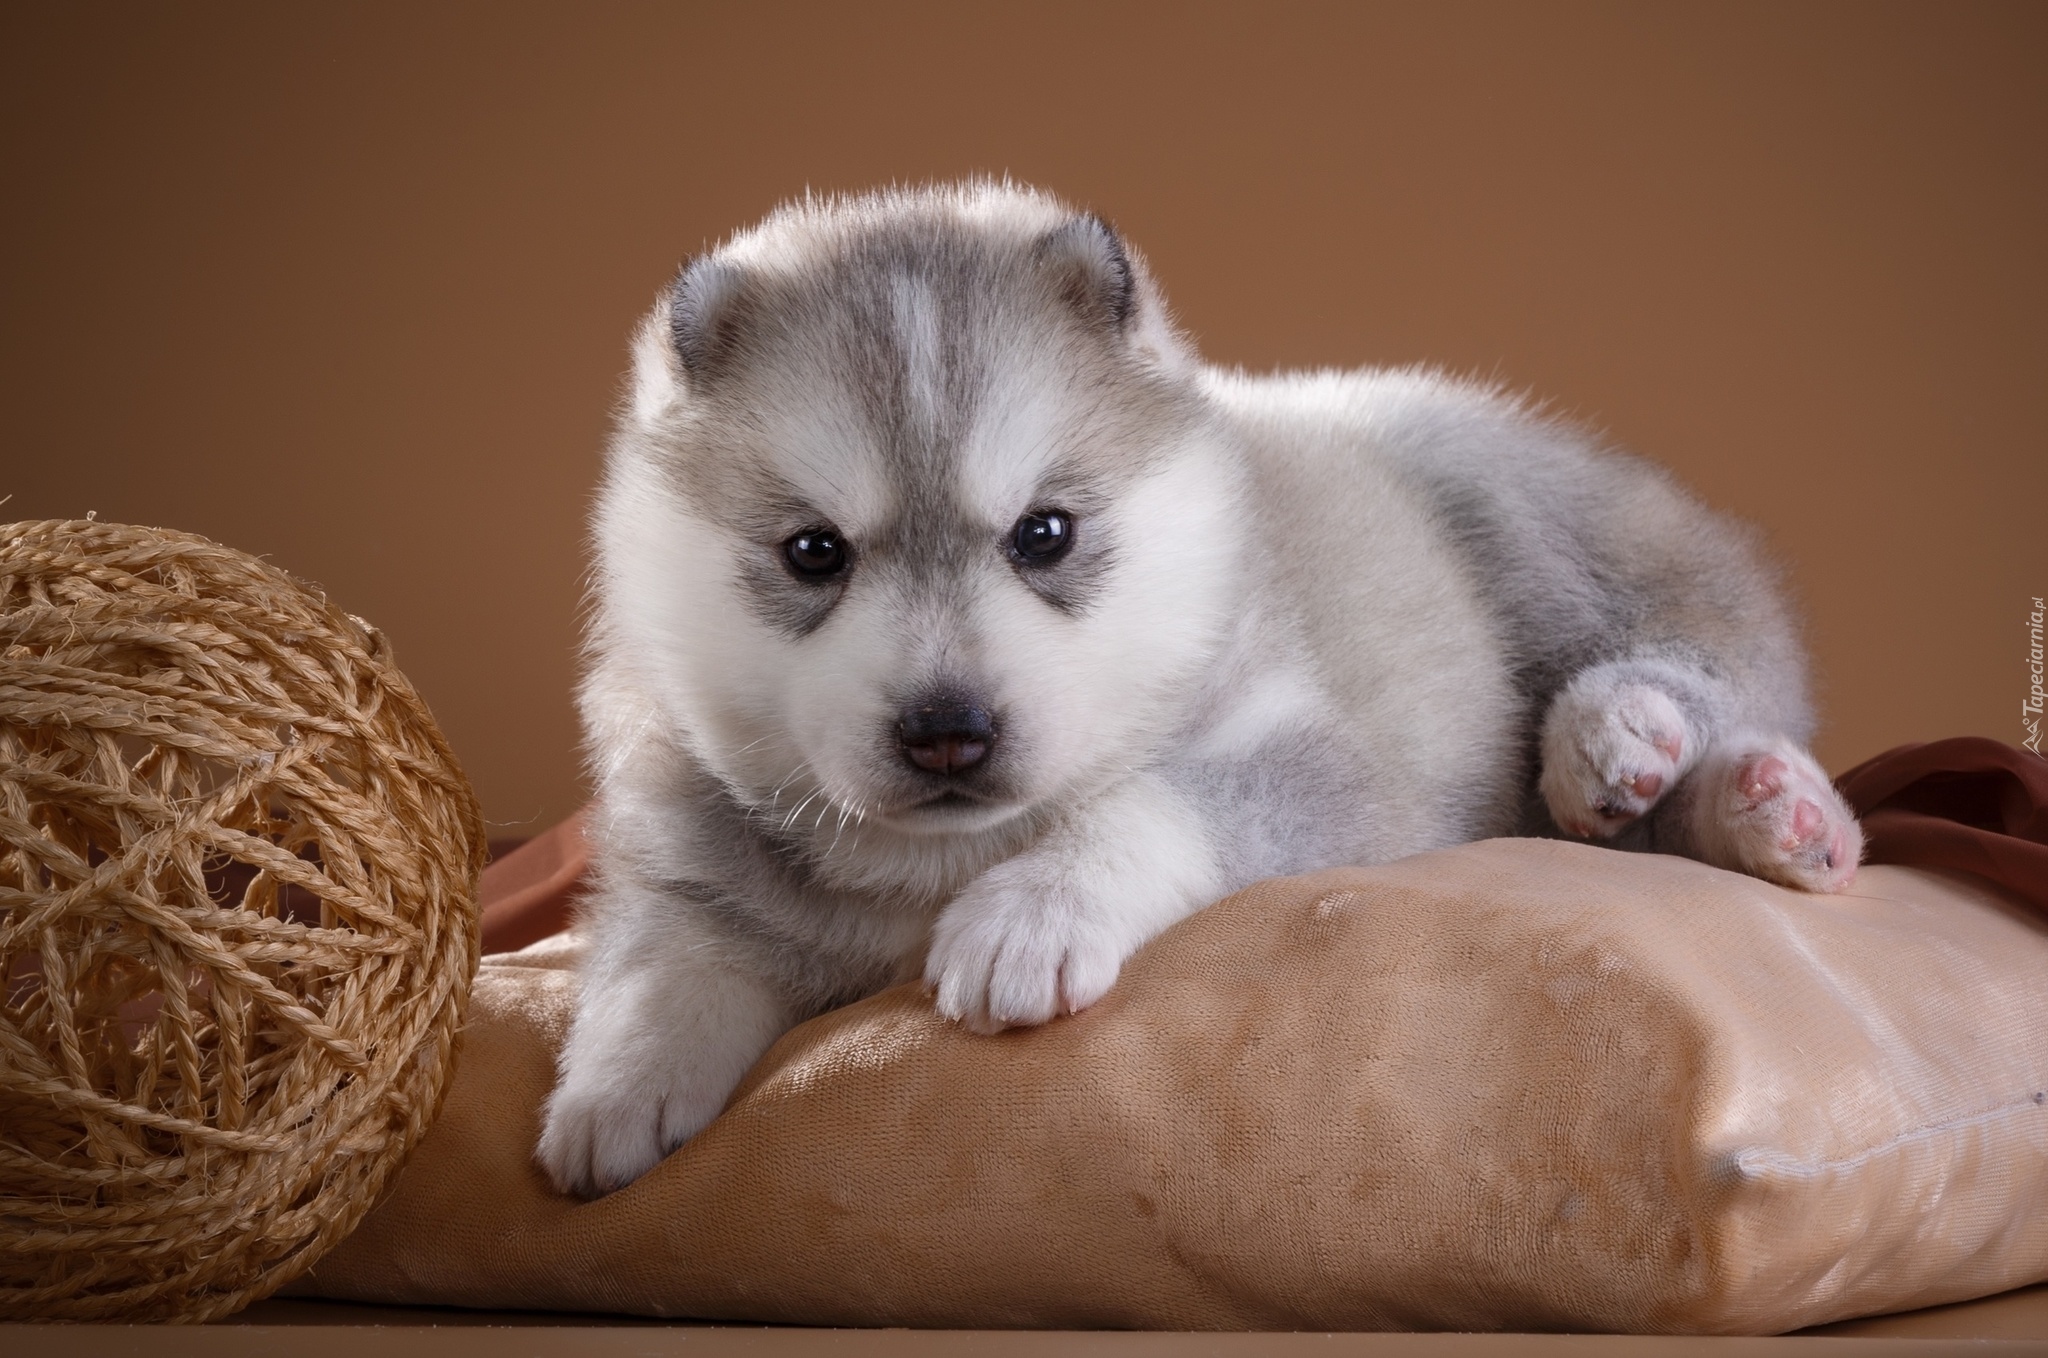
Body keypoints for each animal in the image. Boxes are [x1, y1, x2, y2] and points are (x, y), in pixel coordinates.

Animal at [536, 183, 1867, 1204]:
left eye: (1044, 533)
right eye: (813, 553)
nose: (947, 733)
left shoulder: (1319, 758)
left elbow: (1151, 800)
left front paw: (1037, 908)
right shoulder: (683, 832)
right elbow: (661, 945)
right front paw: (614, 1079)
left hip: (1519, 519)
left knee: (1710, 657)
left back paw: (1638, 740)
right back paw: (1768, 814)